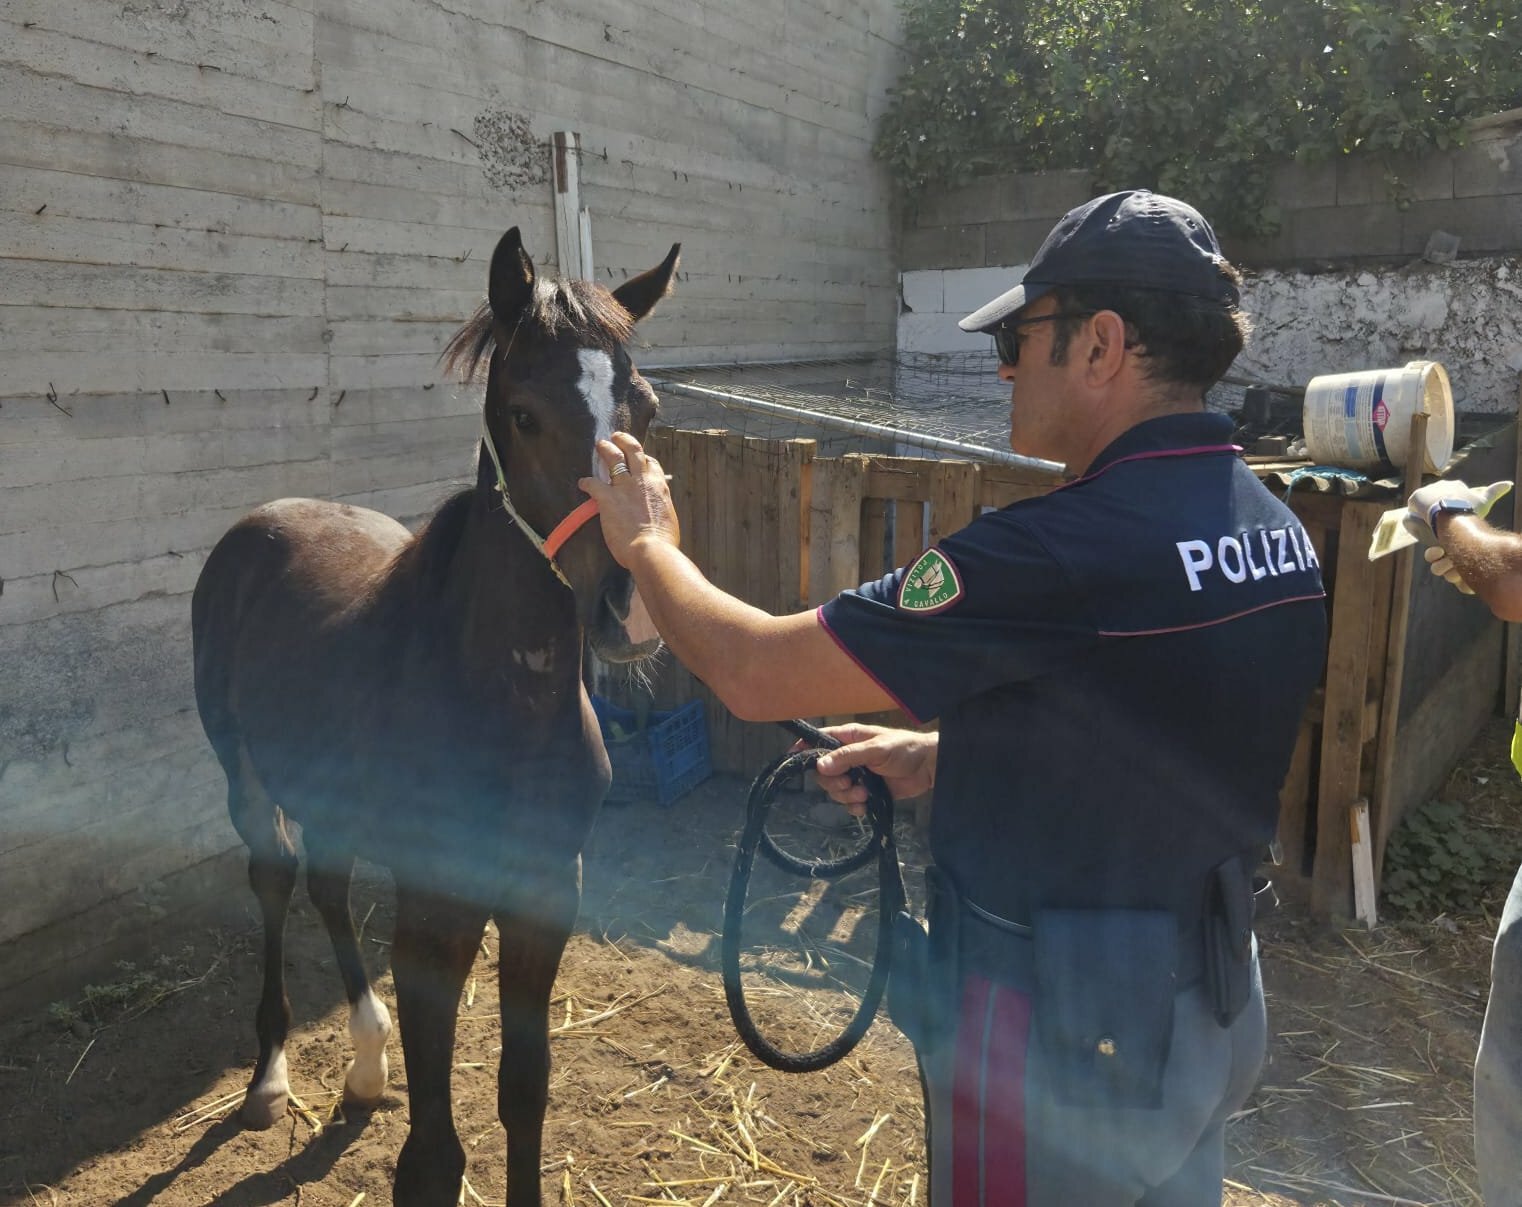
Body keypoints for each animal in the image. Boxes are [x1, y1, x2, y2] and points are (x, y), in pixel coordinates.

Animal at [190, 226, 680, 1206]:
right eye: (523, 413)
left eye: (643, 406)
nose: (633, 607)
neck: (505, 711)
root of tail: (256, 525)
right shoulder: (436, 910)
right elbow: (432, 1158)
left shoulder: (545, 896)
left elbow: (524, 1098)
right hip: (244, 773)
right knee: (276, 879)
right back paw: (271, 1075)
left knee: (329, 883)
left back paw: (366, 1063)